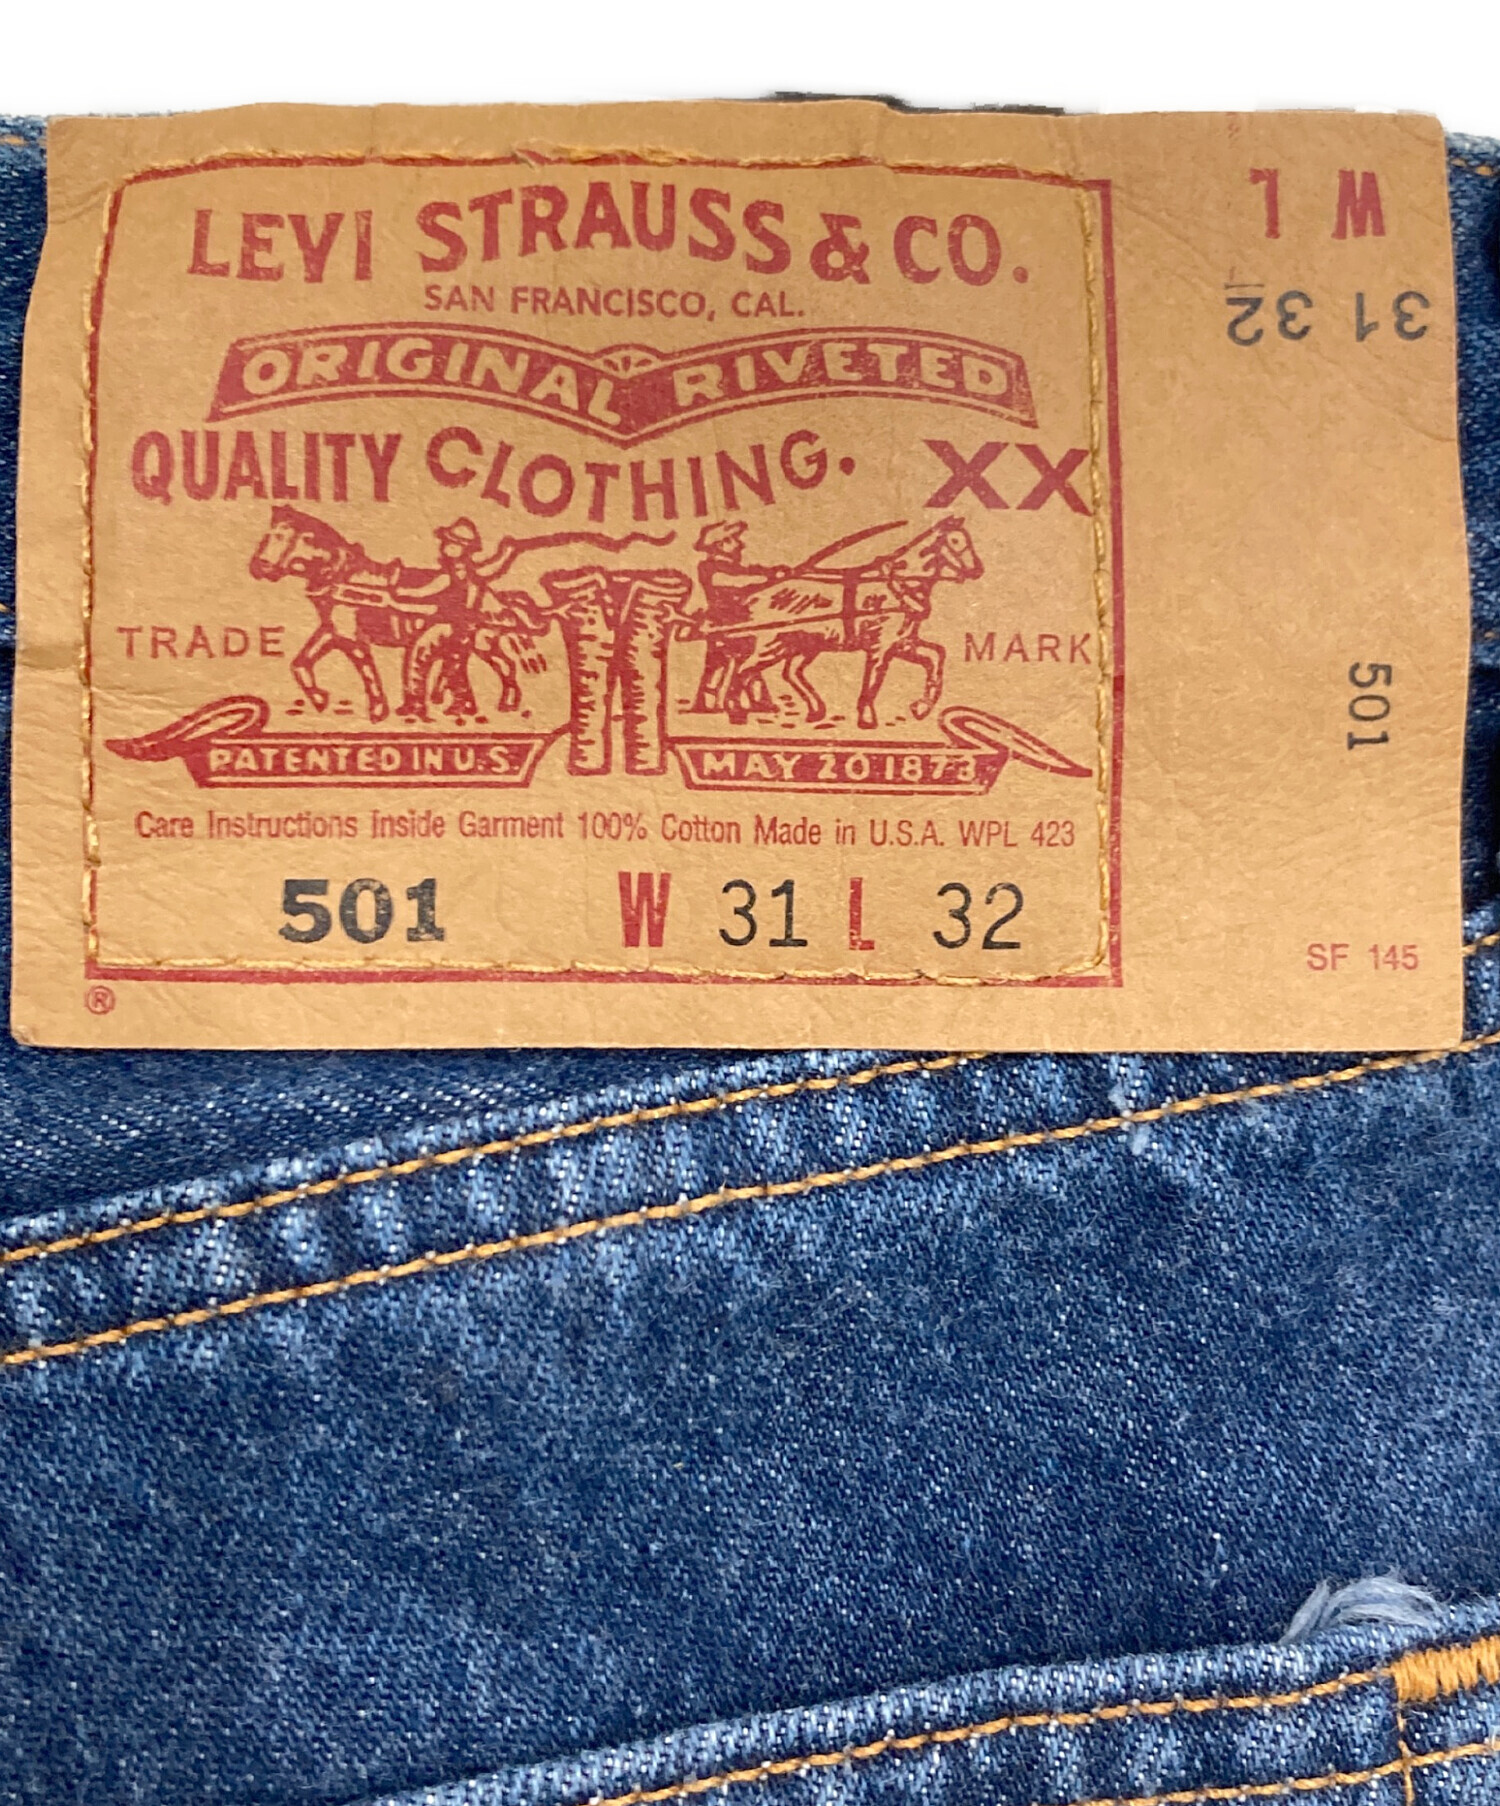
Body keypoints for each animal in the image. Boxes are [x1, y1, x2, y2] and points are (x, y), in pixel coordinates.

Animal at [705, 517, 983, 730]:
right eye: (955, 541)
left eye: (966, 540)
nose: (977, 571)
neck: (897, 585)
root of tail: (755, 597)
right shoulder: (880, 646)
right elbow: (873, 681)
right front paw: (867, 718)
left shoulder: (903, 643)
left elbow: (936, 656)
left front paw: (921, 707)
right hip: (772, 646)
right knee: (744, 671)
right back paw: (736, 711)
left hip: (804, 646)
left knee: (788, 672)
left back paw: (815, 710)